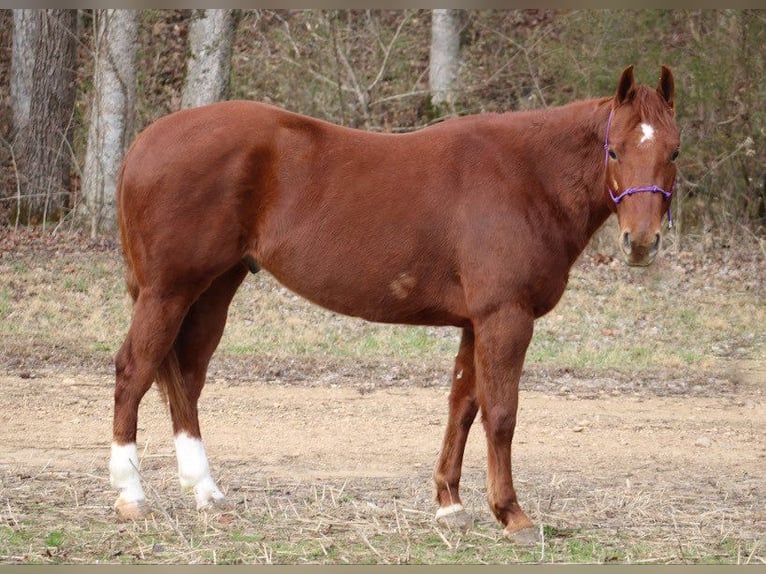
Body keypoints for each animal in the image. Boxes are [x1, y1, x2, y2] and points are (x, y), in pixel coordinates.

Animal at [108, 67, 680, 544]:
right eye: (614, 151)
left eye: (672, 152)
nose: (641, 243)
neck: (526, 175)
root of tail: (144, 143)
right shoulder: (505, 318)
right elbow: (501, 414)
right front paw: (512, 515)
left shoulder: (474, 324)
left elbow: (462, 407)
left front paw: (450, 504)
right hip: (168, 292)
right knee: (134, 371)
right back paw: (132, 496)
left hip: (213, 291)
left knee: (185, 379)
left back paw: (205, 489)